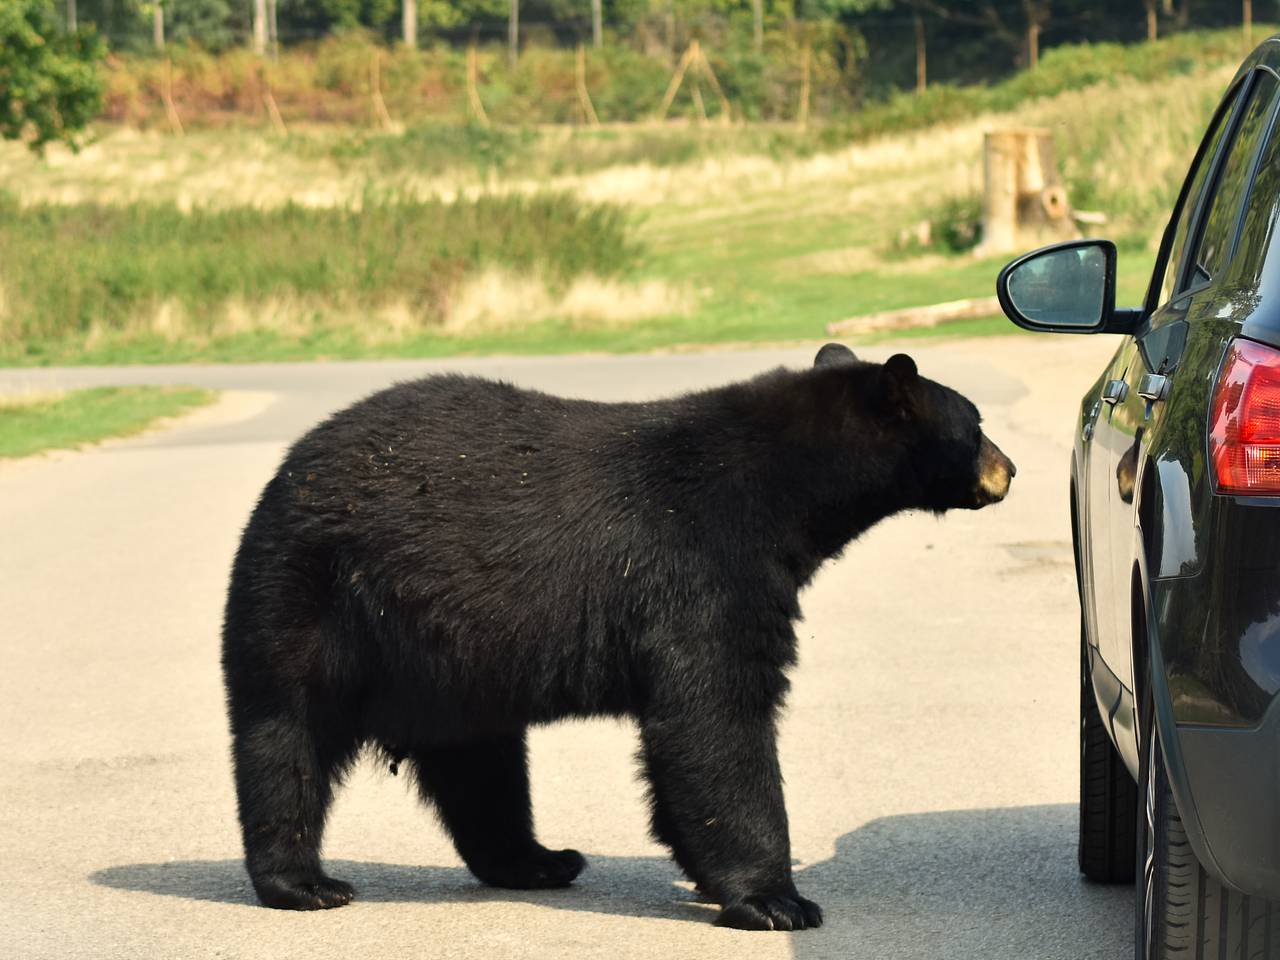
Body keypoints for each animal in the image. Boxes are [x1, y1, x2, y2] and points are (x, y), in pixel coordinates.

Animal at [222, 343, 1018, 931]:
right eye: (976, 421)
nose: (1009, 469)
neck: (783, 492)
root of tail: (290, 469)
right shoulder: (702, 567)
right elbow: (717, 715)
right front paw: (777, 900)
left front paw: (709, 877)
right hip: (311, 596)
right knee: (286, 734)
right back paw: (303, 882)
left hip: (454, 659)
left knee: (480, 764)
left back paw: (540, 860)